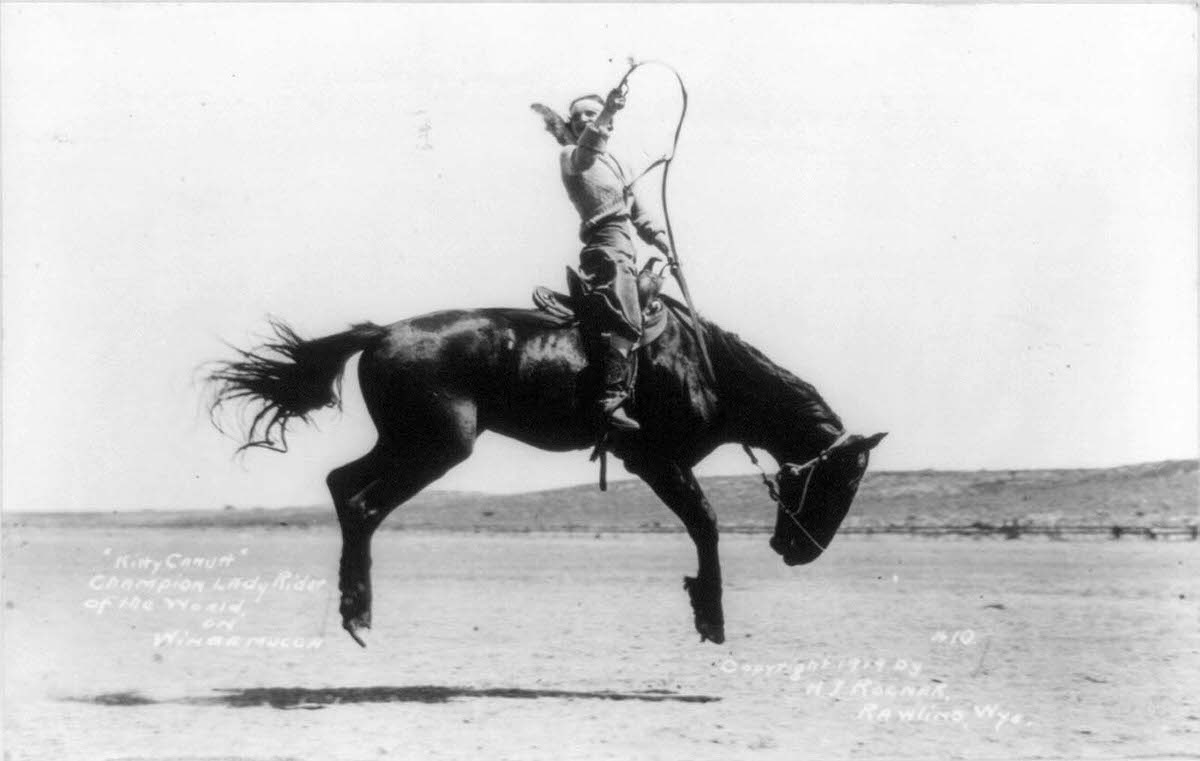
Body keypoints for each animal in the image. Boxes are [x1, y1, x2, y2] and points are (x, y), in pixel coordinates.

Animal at [206, 292, 883, 643]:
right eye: (843, 478)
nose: (800, 551)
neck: (705, 365)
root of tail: (381, 333)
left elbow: (703, 525)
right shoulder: (657, 460)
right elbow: (706, 525)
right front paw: (710, 615)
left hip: (405, 442)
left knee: (342, 485)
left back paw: (354, 605)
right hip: (435, 447)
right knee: (363, 502)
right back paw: (358, 612)